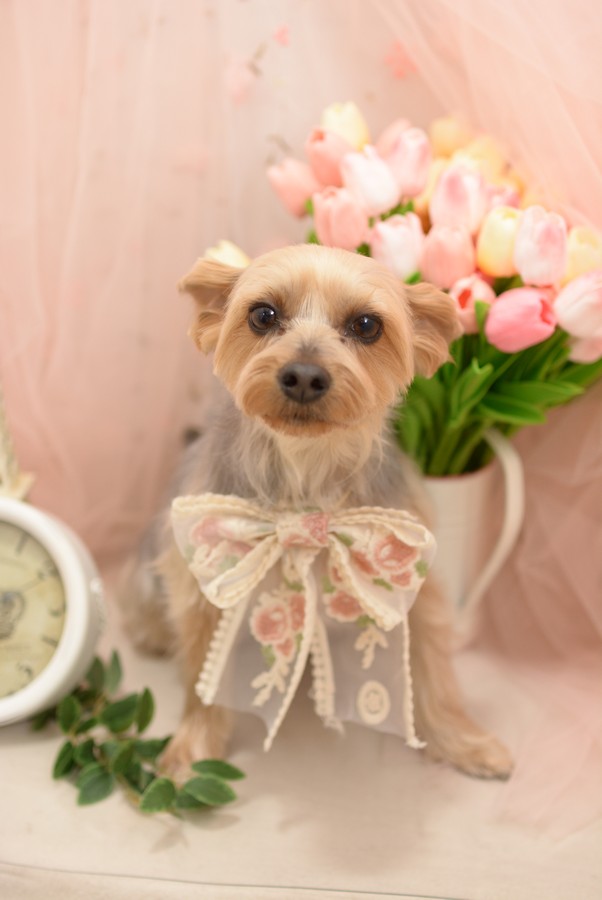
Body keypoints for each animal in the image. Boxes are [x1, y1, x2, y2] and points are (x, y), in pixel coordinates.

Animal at [120, 243, 512, 781]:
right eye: (262, 315)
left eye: (367, 325)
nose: (304, 375)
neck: (306, 472)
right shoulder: (205, 580)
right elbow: (203, 680)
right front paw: (192, 751)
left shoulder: (409, 578)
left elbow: (435, 673)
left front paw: (465, 742)